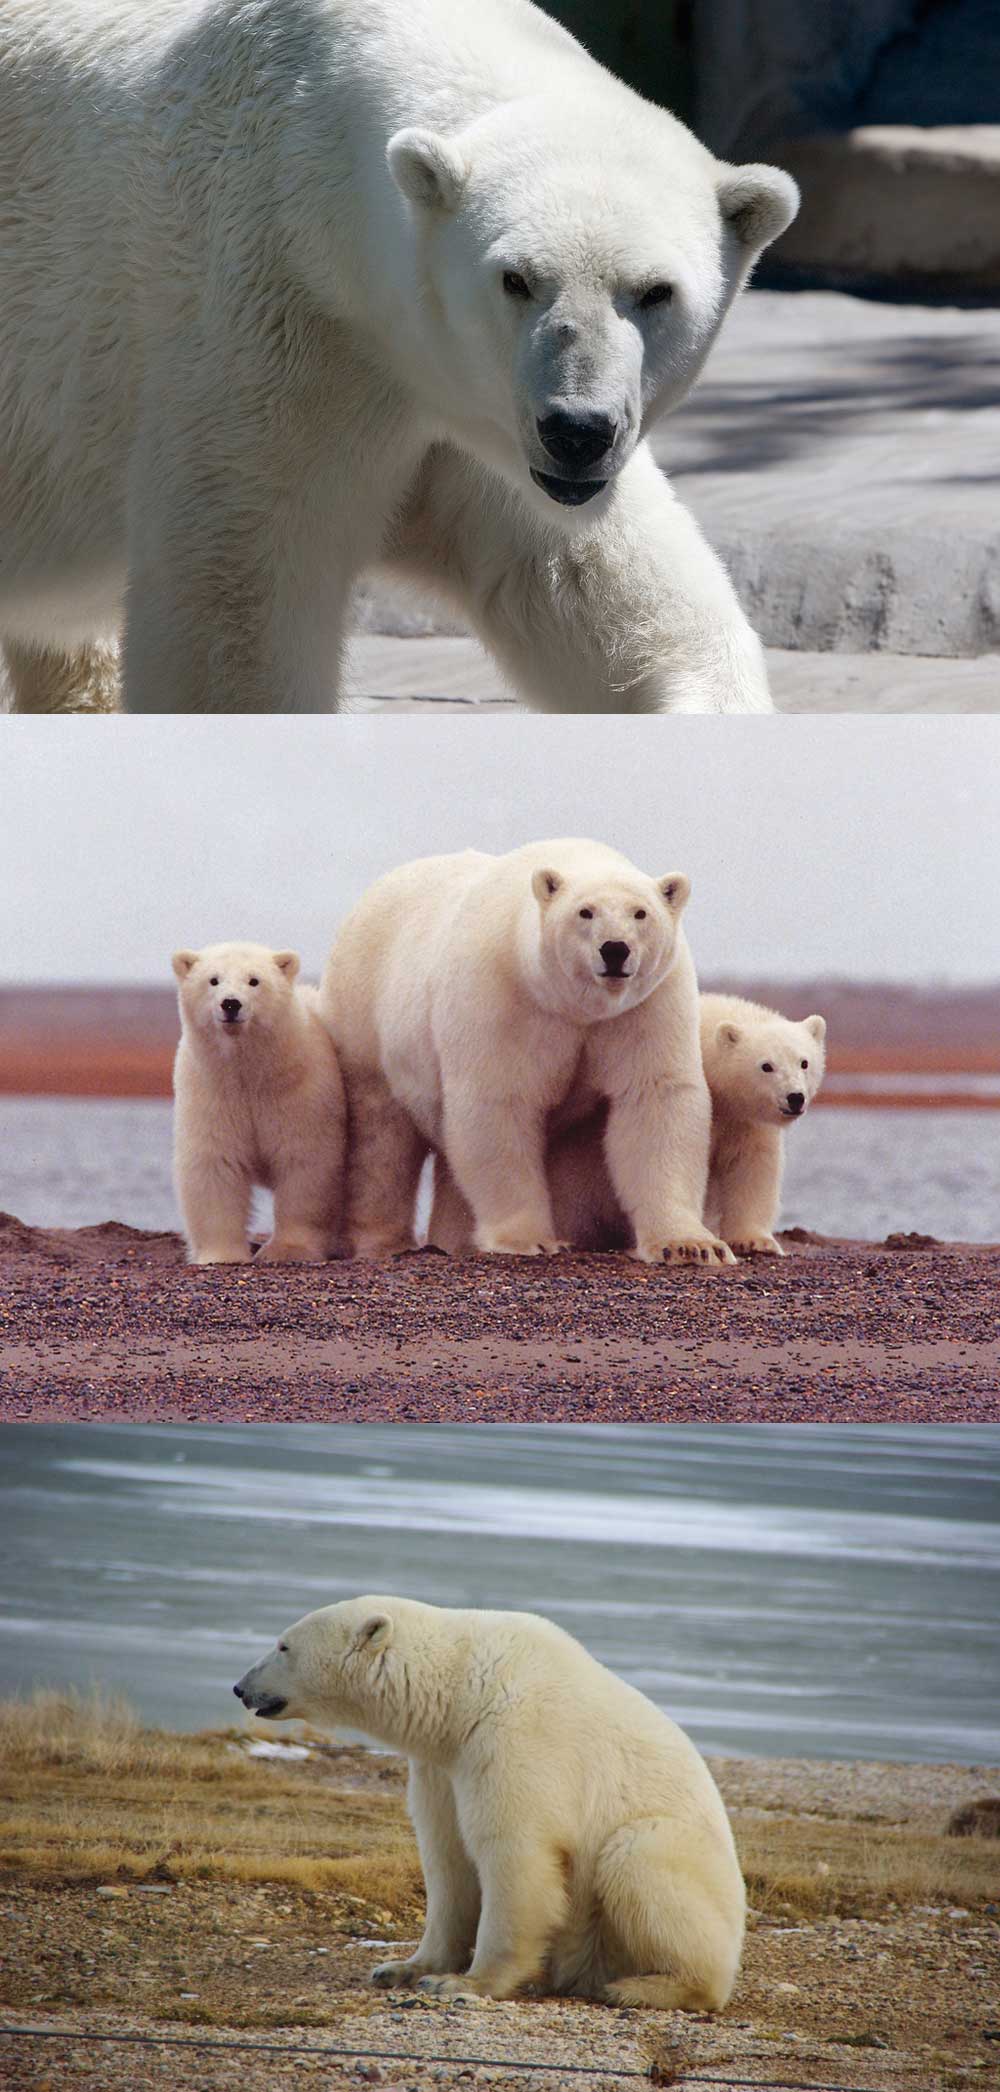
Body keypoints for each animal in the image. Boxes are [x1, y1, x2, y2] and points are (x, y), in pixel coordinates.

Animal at [0, 0, 794, 715]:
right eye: (516, 279)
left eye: (656, 291)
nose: (578, 431)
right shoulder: (277, 335)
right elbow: (234, 619)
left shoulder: (470, 407)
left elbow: (605, 594)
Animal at [169, 945, 345, 1263]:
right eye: (213, 980)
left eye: (254, 980)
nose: (230, 1004)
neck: (250, 1073)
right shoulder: (212, 1093)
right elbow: (215, 1164)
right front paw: (221, 1255)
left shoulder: (299, 1093)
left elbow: (305, 1162)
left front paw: (288, 1250)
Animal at [234, 1598, 744, 2008]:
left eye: (283, 1646)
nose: (240, 1687)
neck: (461, 1690)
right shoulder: (442, 1764)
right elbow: (447, 1858)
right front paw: (402, 1967)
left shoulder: (517, 1738)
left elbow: (515, 1854)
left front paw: (463, 1984)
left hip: (684, 1869)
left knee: (639, 1857)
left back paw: (642, 1988)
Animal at [320, 840, 736, 1263]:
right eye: (585, 911)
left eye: (641, 912)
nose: (615, 949)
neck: (574, 1006)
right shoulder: (504, 996)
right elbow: (499, 1102)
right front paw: (529, 1239)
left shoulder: (645, 1006)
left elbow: (655, 1098)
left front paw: (691, 1245)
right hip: (365, 1015)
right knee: (381, 1137)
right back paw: (383, 1241)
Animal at [428, 991, 828, 1263]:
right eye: (766, 1065)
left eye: (804, 1062)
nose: (794, 1098)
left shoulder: (744, 1120)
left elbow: (752, 1167)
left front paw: (755, 1241)